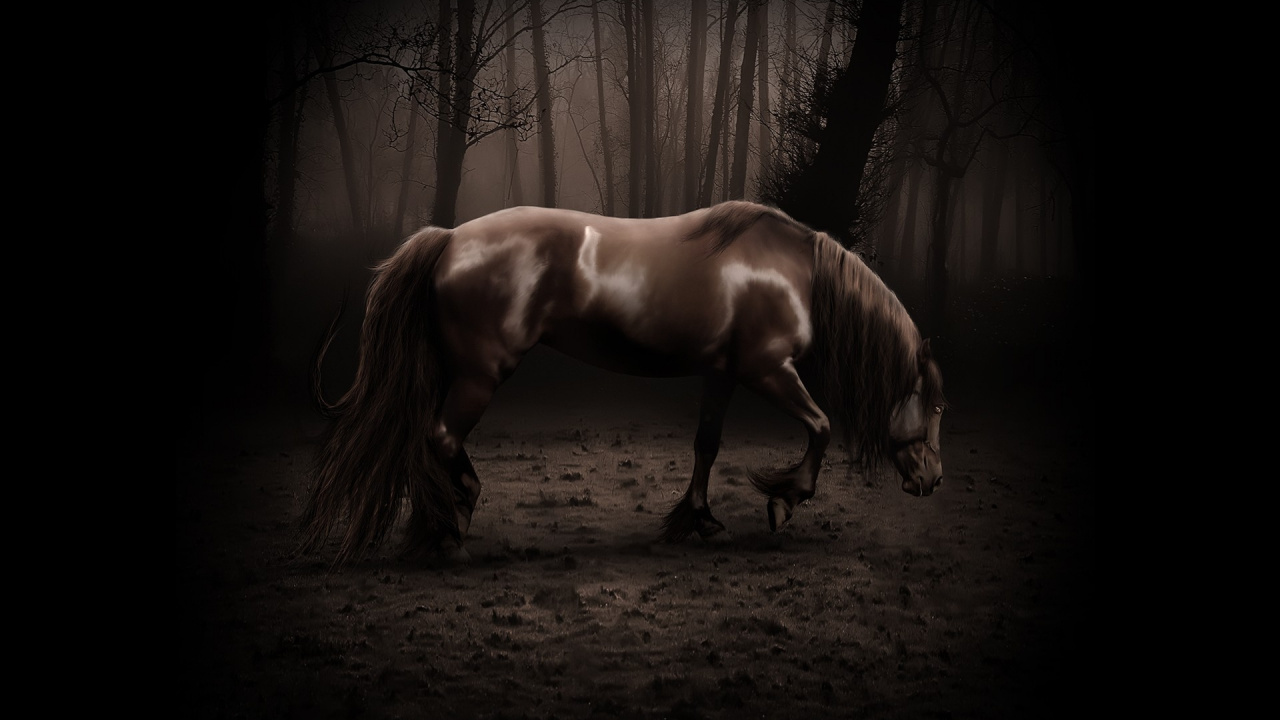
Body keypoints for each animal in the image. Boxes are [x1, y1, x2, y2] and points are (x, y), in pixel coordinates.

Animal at [301, 201, 946, 565]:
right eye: (937, 406)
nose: (932, 480)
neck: (792, 270)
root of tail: (449, 239)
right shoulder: (767, 370)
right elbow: (820, 425)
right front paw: (784, 502)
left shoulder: (724, 373)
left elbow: (707, 446)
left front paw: (698, 521)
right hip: (481, 374)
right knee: (439, 437)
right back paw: (452, 531)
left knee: (429, 438)